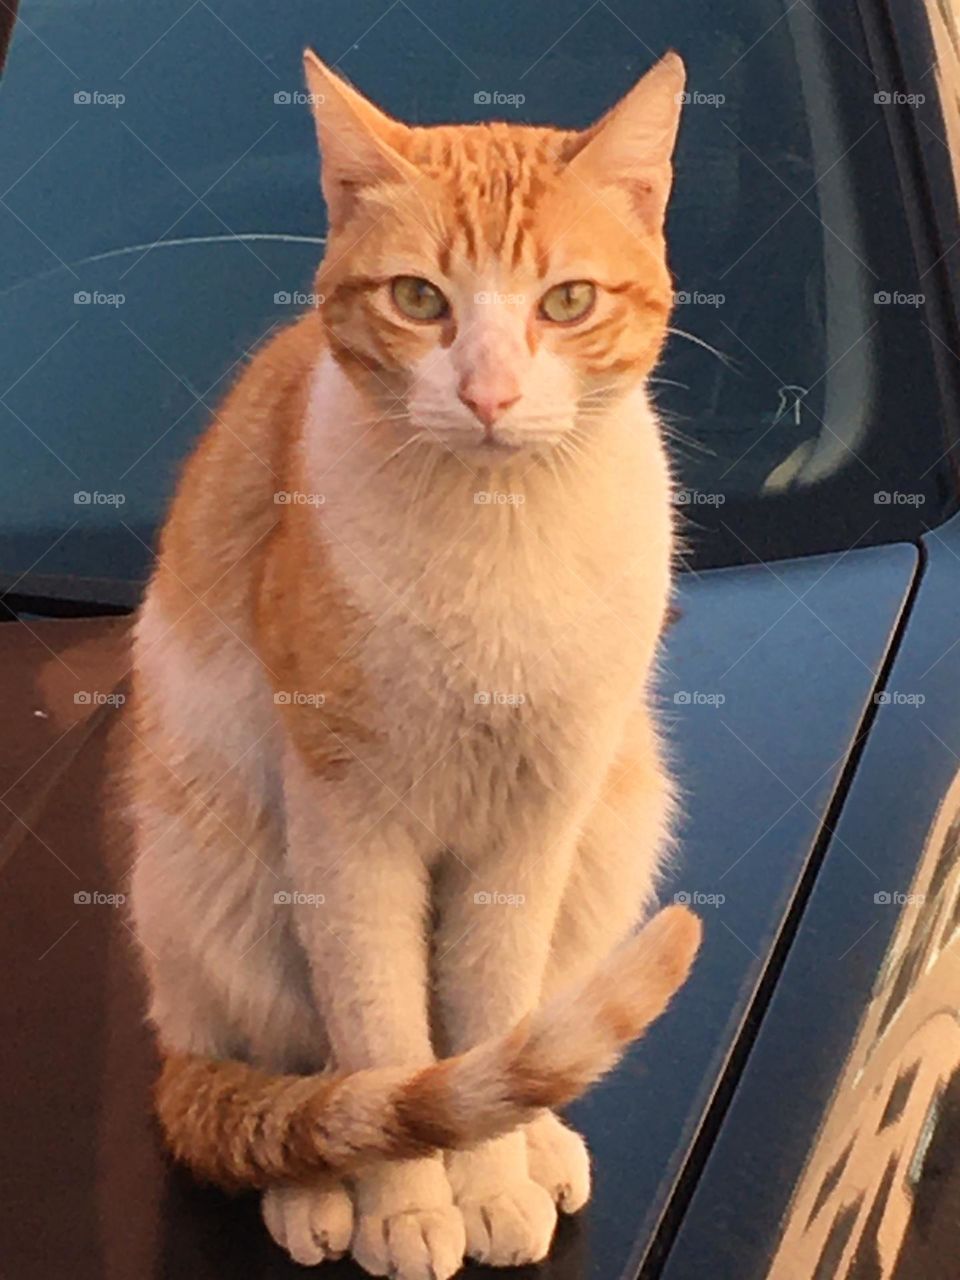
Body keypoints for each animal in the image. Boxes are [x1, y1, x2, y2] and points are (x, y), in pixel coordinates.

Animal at [129, 49, 701, 1280]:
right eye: (419, 299)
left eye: (566, 301)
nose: (487, 394)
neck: (496, 536)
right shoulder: (348, 831)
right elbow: (386, 1034)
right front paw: (404, 1202)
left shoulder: (534, 822)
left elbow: (491, 1015)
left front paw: (488, 1177)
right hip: (223, 887)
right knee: (285, 1074)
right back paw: (314, 1184)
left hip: (615, 824)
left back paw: (537, 1140)